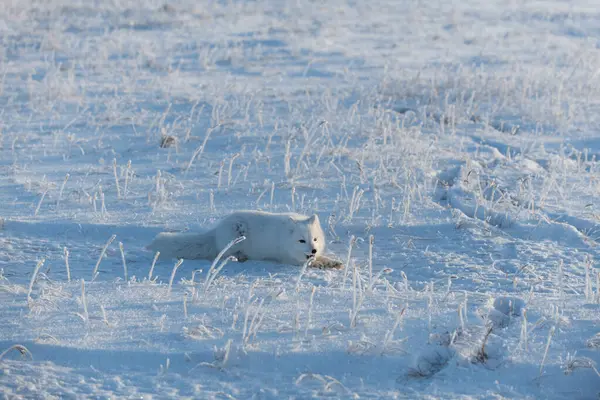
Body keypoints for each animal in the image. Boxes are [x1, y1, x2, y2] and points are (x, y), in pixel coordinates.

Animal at [146, 209, 342, 268]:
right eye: (301, 241)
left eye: (315, 239)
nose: (313, 250)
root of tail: (215, 231)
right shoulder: (290, 259)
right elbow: (311, 263)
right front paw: (324, 264)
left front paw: (333, 261)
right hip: (234, 237)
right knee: (224, 255)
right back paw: (240, 257)